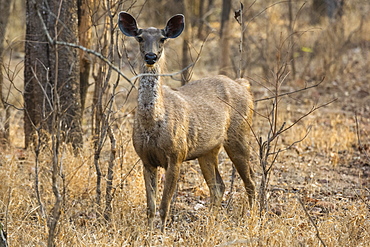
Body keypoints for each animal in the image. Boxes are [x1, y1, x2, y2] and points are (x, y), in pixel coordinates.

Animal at [120, 11, 256, 232]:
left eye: (162, 39)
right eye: (139, 37)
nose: (151, 57)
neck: (152, 126)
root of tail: (243, 84)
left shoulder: (176, 156)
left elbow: (164, 206)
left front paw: (161, 233)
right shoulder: (145, 159)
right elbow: (150, 207)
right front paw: (148, 233)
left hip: (240, 135)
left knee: (250, 181)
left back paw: (253, 219)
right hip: (208, 150)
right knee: (218, 186)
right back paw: (210, 223)